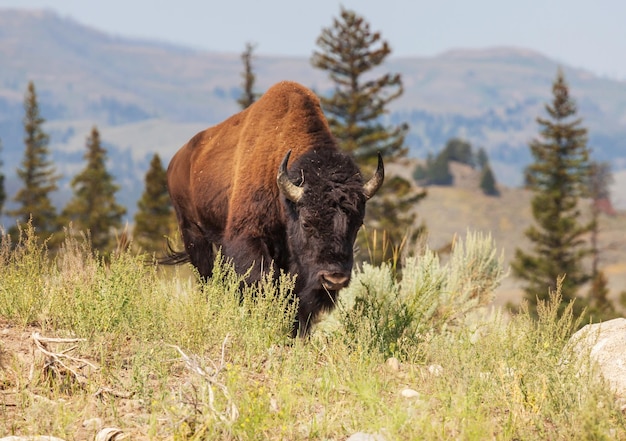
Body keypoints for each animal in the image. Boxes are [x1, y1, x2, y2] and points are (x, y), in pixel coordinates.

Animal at [163, 80, 382, 334]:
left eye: (357, 224)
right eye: (307, 223)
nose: (334, 278)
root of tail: (177, 161)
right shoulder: (250, 239)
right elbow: (263, 282)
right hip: (193, 233)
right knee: (207, 277)